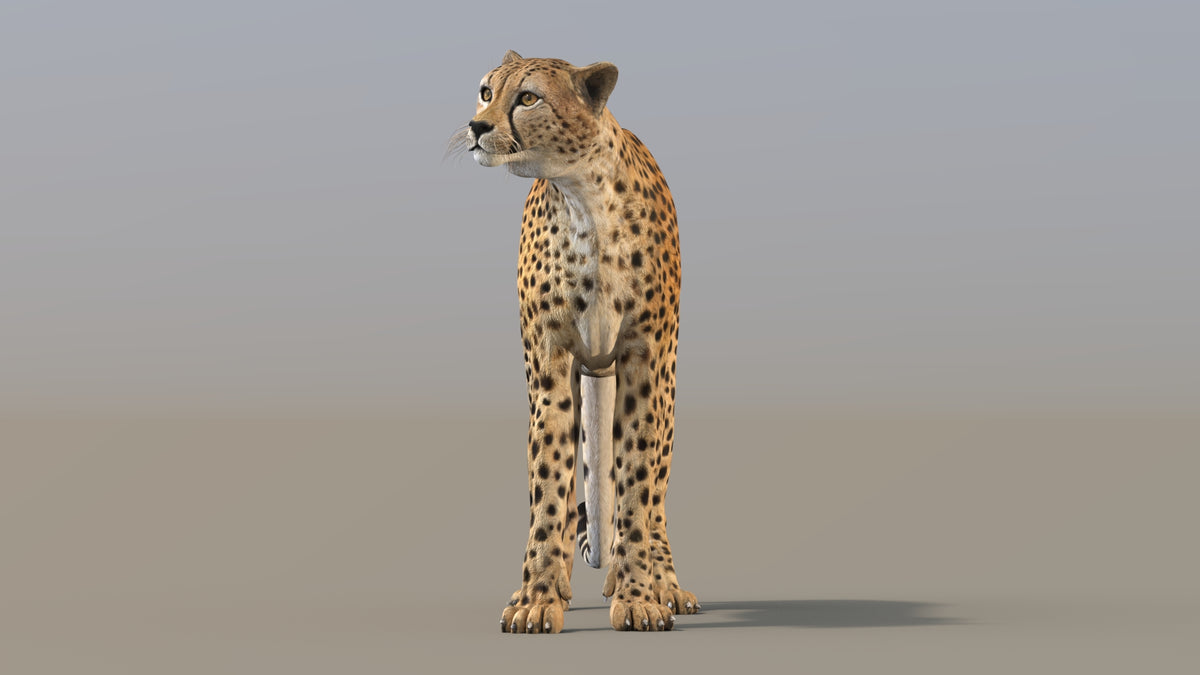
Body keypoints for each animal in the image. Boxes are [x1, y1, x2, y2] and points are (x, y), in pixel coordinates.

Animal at [450, 51, 699, 633]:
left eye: (528, 98)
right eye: (485, 91)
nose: (477, 126)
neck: (583, 197)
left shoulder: (643, 365)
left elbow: (636, 487)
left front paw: (640, 596)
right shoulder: (550, 364)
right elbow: (548, 480)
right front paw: (537, 598)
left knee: (654, 493)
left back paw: (664, 582)